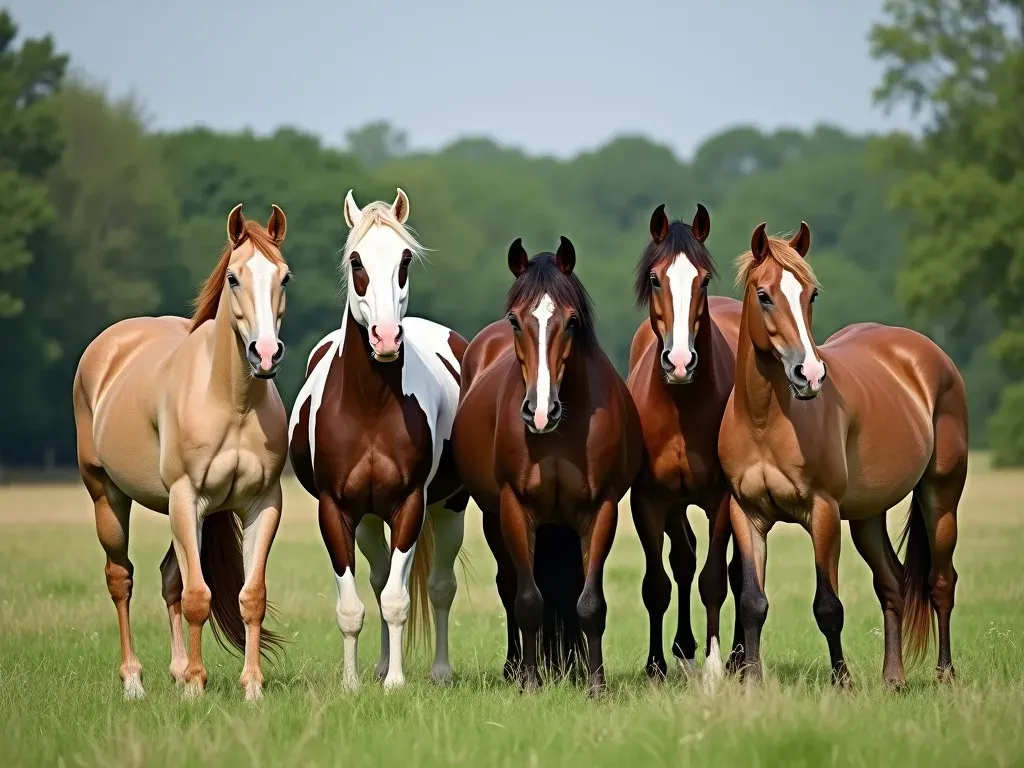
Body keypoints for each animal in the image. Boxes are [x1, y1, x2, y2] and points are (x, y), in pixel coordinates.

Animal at [74, 204, 292, 704]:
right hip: (108, 496)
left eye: (284, 277)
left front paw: (251, 687)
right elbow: (198, 597)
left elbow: (251, 597)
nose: (266, 353)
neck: (231, 401)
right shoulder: (185, 497)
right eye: (233, 277)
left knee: (169, 577)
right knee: (122, 578)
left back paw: (173, 671)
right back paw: (134, 680)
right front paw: (196, 685)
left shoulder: (263, 504)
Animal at [286, 188, 466, 692]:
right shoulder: (336, 510)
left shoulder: (411, 504)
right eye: (356, 260)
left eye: (404, 259)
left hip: (450, 508)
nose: (386, 337)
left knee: (439, 588)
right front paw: (353, 684)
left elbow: (397, 601)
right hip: (367, 519)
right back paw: (383, 663)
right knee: (380, 575)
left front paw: (397, 684)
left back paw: (439, 671)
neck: (369, 407)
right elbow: (354, 606)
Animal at [450, 234, 634, 696]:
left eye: (571, 321)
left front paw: (596, 686)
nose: (540, 412)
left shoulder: (600, 510)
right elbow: (529, 599)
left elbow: (589, 603)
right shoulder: (516, 508)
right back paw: (515, 668)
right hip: (494, 519)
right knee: (509, 585)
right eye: (517, 321)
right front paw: (531, 684)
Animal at [622, 202, 745, 684]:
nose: (679, 362)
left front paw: (713, 667)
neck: (679, 406)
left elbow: (715, 579)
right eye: (656, 279)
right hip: (674, 503)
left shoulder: (720, 499)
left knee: (731, 570)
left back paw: (734, 656)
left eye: (703, 280)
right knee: (683, 560)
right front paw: (655, 665)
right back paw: (681, 648)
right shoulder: (649, 499)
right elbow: (657, 583)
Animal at [720, 222, 966, 692]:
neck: (763, 421)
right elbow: (752, 602)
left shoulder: (823, 512)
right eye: (764, 295)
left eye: (811, 294)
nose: (810, 375)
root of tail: (928, 355)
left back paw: (945, 675)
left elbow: (828, 606)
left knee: (941, 583)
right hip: (867, 517)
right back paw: (893, 679)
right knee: (892, 583)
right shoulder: (747, 514)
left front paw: (842, 681)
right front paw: (752, 682)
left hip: (941, 498)